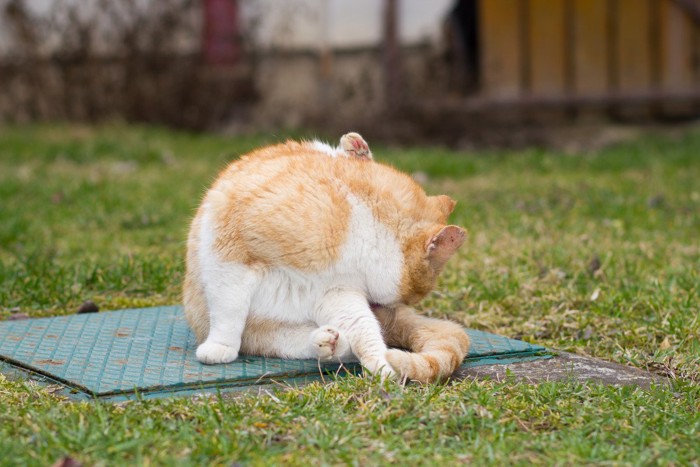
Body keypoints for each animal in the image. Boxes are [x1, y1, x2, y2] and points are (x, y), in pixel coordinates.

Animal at [185, 133, 470, 382]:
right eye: (416, 294)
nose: (388, 308)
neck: (360, 222)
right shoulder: (229, 256)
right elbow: (228, 310)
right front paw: (220, 347)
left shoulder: (336, 292)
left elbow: (364, 331)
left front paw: (383, 367)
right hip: (260, 331)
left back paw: (330, 343)